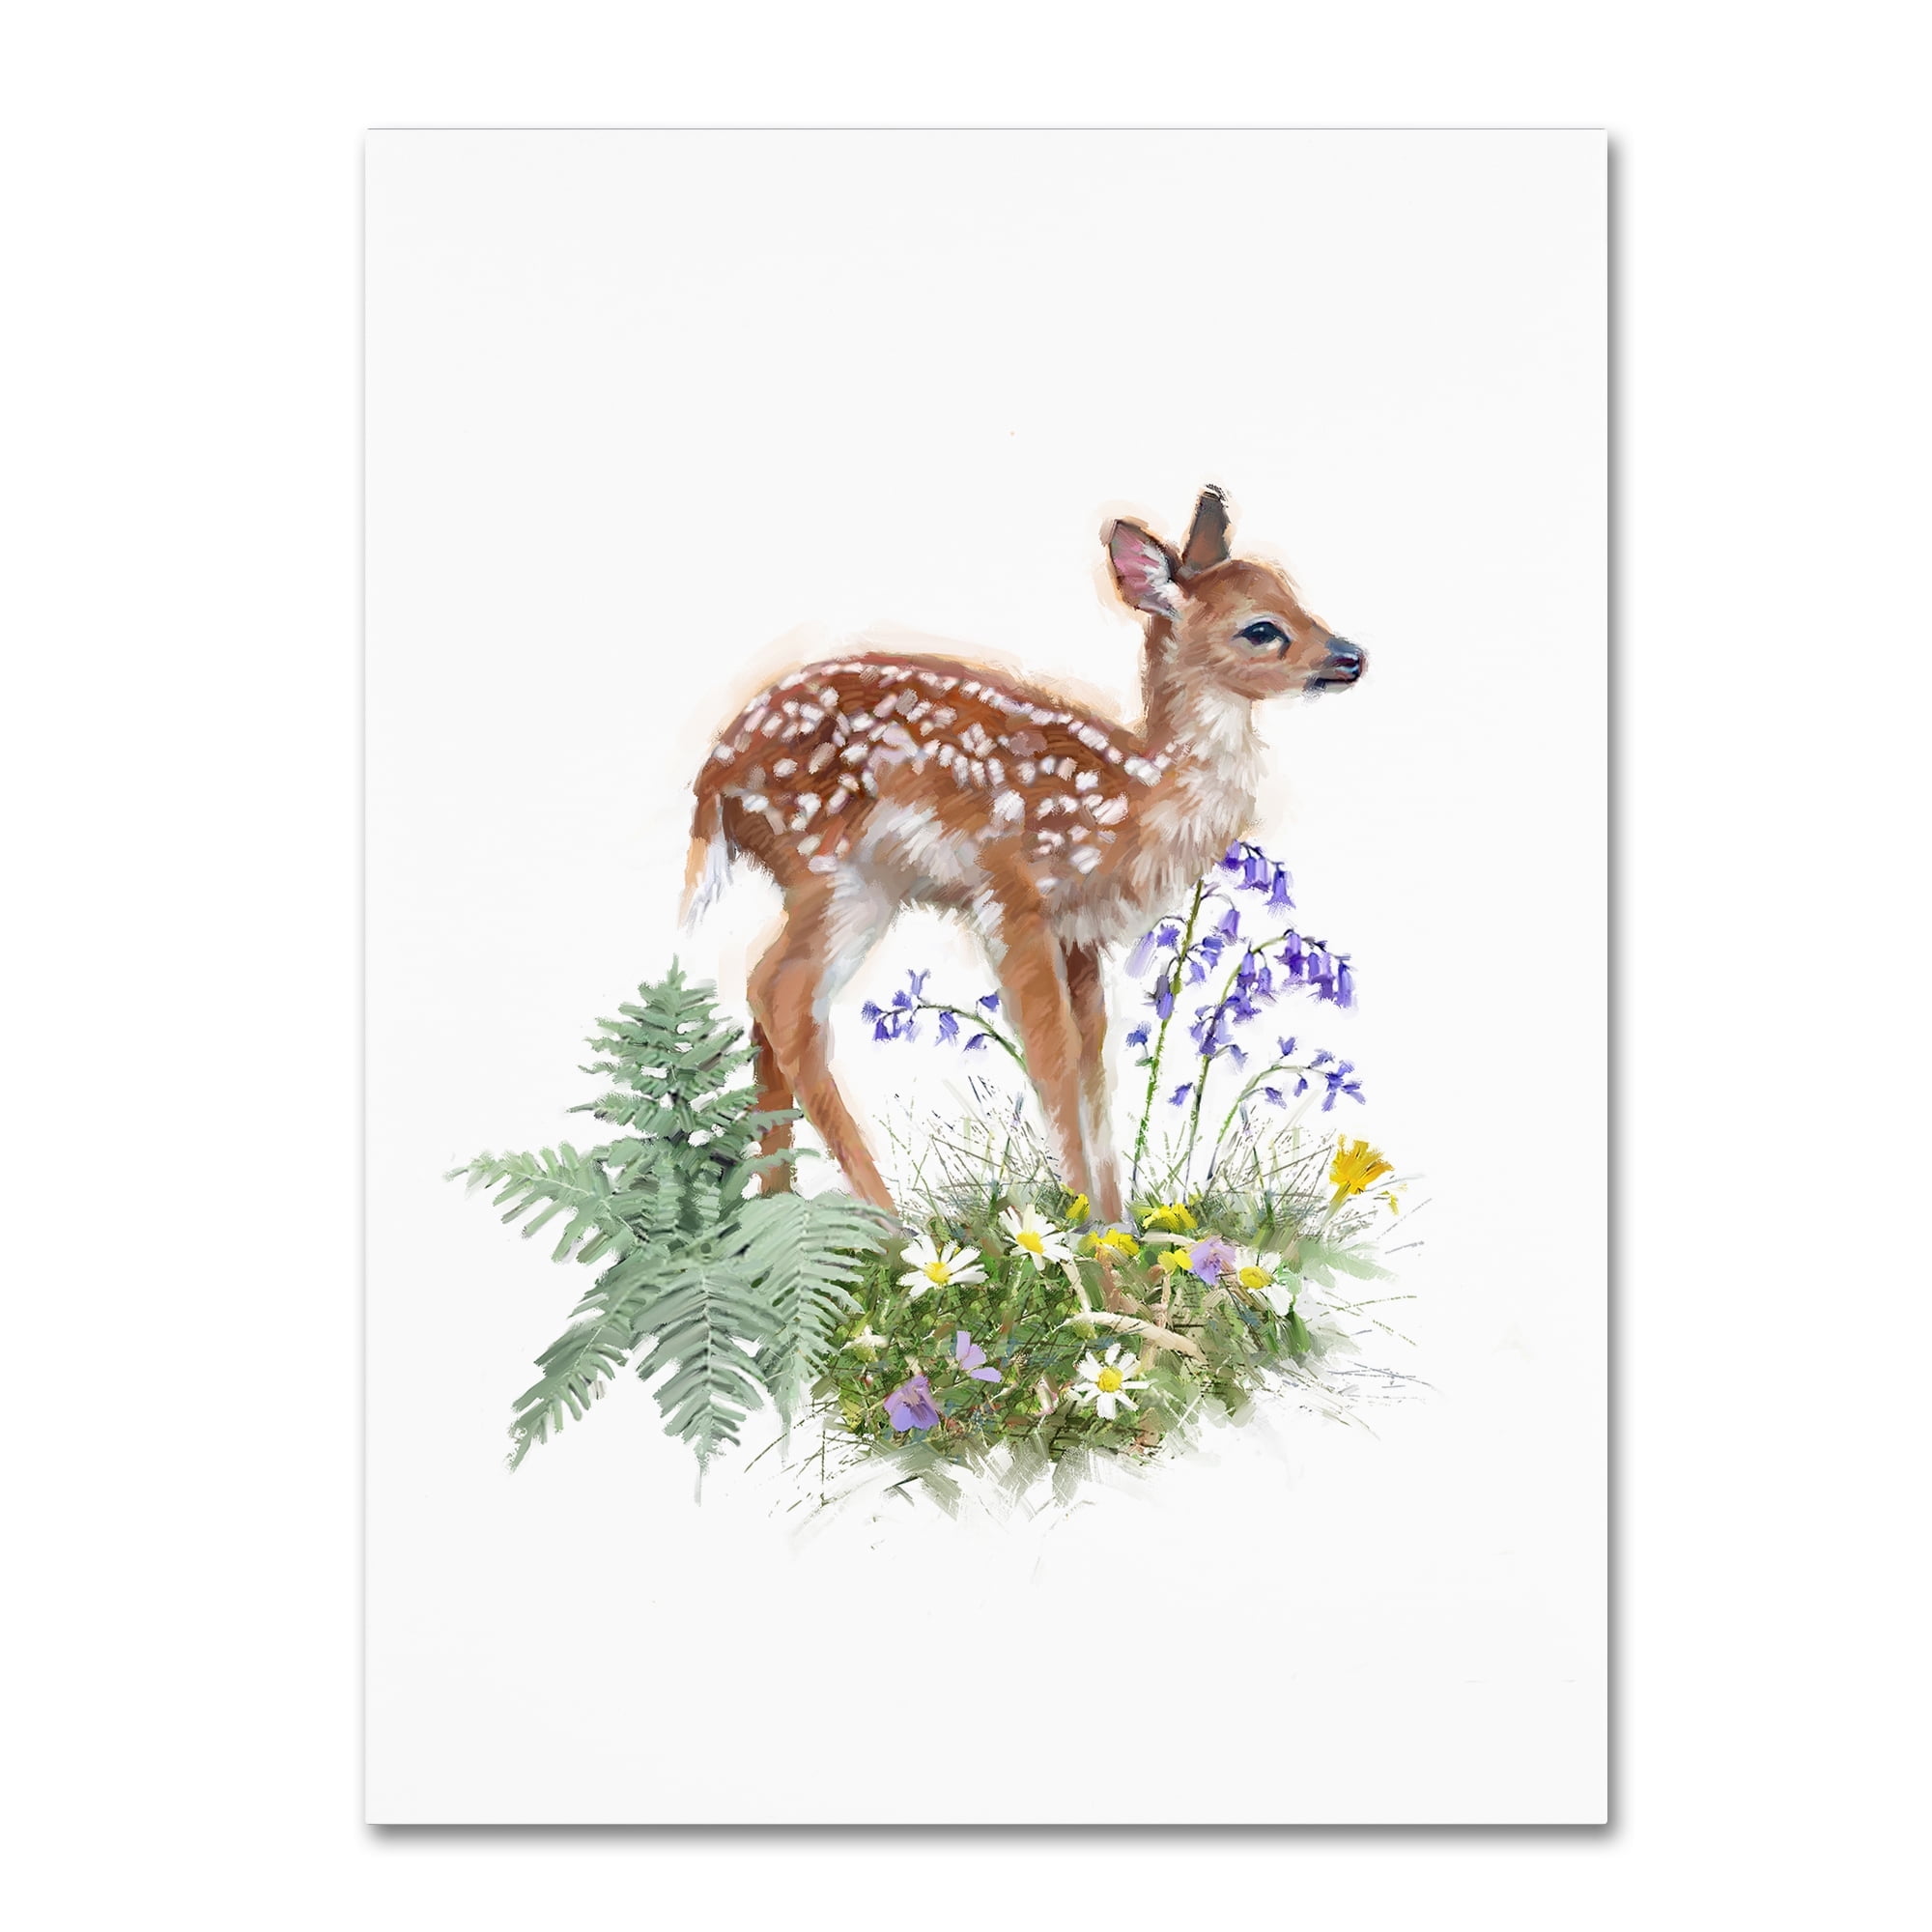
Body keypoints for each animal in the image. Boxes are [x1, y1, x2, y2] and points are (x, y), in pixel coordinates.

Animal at [681, 488, 1365, 1226]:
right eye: (1262, 629)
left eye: (1294, 594)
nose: (1353, 657)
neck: (1134, 798)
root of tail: (712, 779)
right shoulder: (1013, 896)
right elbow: (1052, 1058)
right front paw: (1085, 1238)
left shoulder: (1080, 932)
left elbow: (1094, 1070)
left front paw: (1116, 1228)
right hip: (834, 870)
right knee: (779, 994)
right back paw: (888, 1225)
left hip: (843, 884)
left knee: (767, 998)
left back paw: (779, 1214)